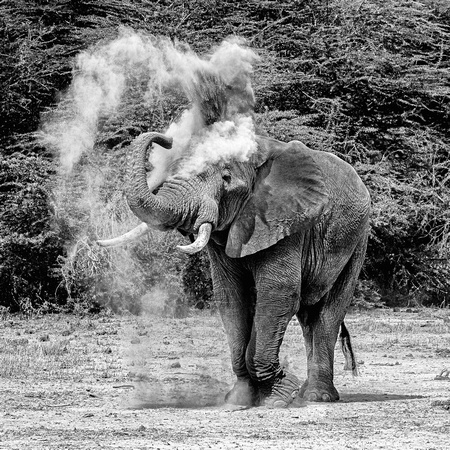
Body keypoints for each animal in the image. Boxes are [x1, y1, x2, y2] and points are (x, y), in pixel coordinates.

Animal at [100, 130, 370, 408]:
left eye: (226, 179)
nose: (167, 139)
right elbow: (231, 296)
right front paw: (239, 399)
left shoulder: (287, 221)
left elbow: (278, 293)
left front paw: (280, 396)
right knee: (309, 318)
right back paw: (307, 393)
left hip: (358, 238)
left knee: (328, 313)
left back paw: (317, 396)